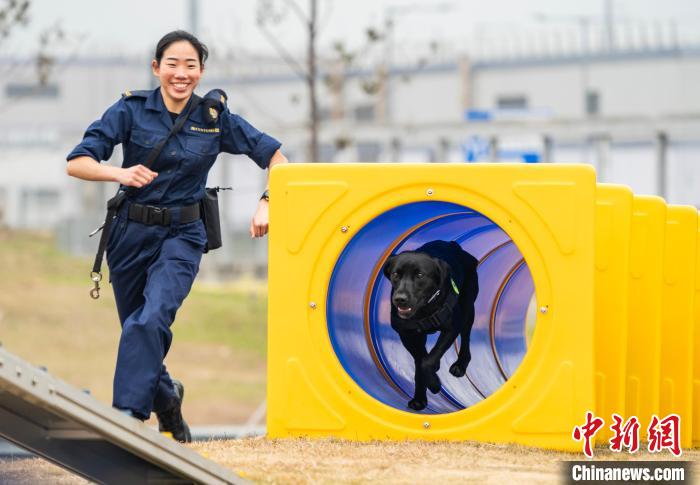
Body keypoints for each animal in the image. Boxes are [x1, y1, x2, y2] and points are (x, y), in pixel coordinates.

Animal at [380, 240, 478, 410]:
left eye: (420, 275)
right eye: (396, 274)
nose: (400, 299)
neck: (424, 310)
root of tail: (455, 245)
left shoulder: (452, 327)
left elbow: (427, 362)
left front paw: (434, 384)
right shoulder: (408, 335)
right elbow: (421, 363)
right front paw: (420, 398)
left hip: (467, 308)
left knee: (466, 337)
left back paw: (460, 364)